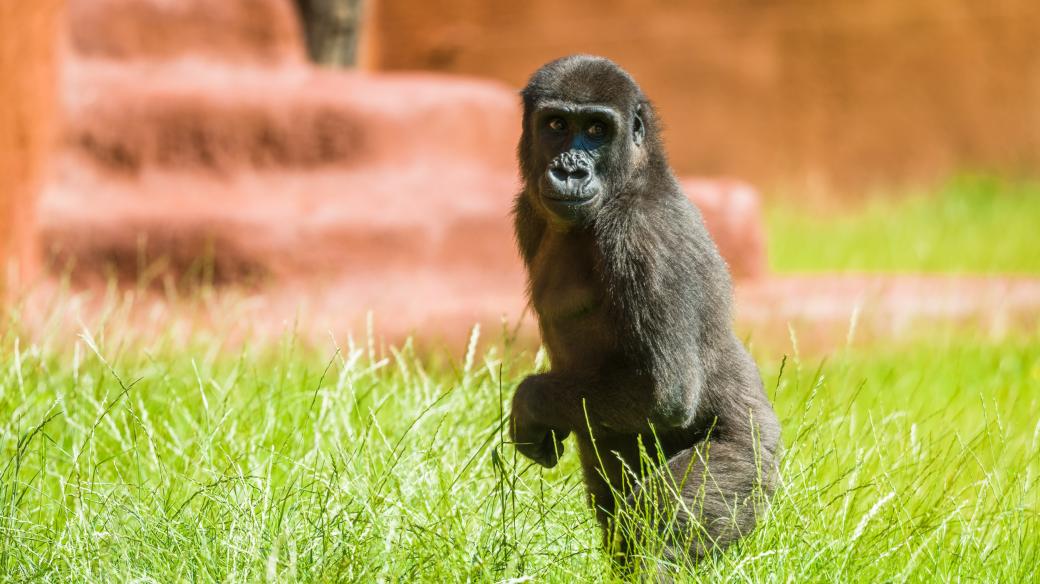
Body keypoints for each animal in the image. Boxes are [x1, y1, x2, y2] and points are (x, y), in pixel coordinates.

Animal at [507, 55, 782, 569]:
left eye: (597, 130)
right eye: (556, 125)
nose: (570, 171)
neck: (633, 176)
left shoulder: (642, 234)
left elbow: (663, 393)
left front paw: (530, 403)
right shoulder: (528, 209)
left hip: (752, 466)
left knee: (662, 533)